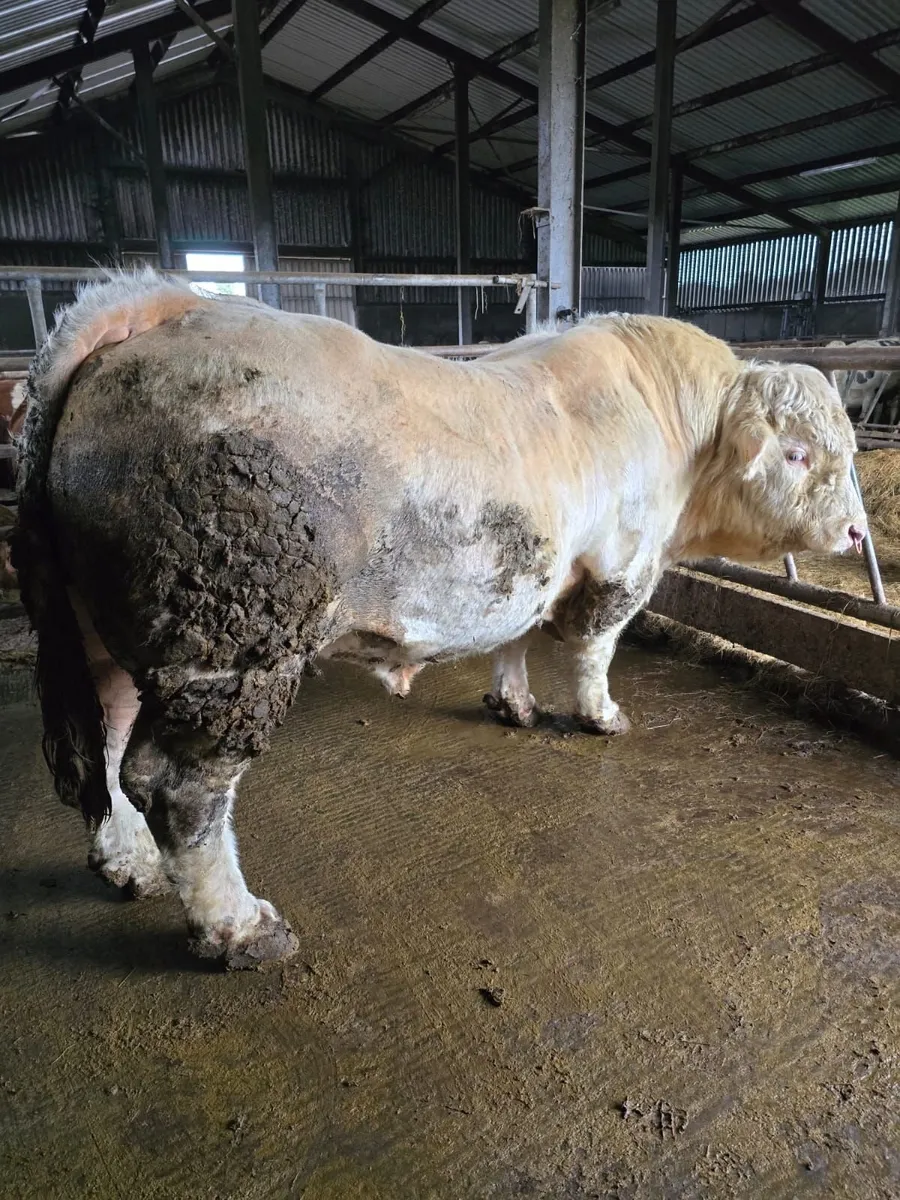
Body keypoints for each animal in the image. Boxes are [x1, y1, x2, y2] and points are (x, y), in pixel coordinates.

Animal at [14, 271, 866, 968]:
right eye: (797, 454)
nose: (858, 533)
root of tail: (163, 307)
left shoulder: (537, 569)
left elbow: (518, 637)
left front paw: (514, 704)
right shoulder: (621, 564)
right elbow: (594, 649)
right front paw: (603, 717)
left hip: (106, 628)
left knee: (109, 739)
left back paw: (127, 862)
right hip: (231, 633)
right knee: (177, 783)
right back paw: (240, 930)